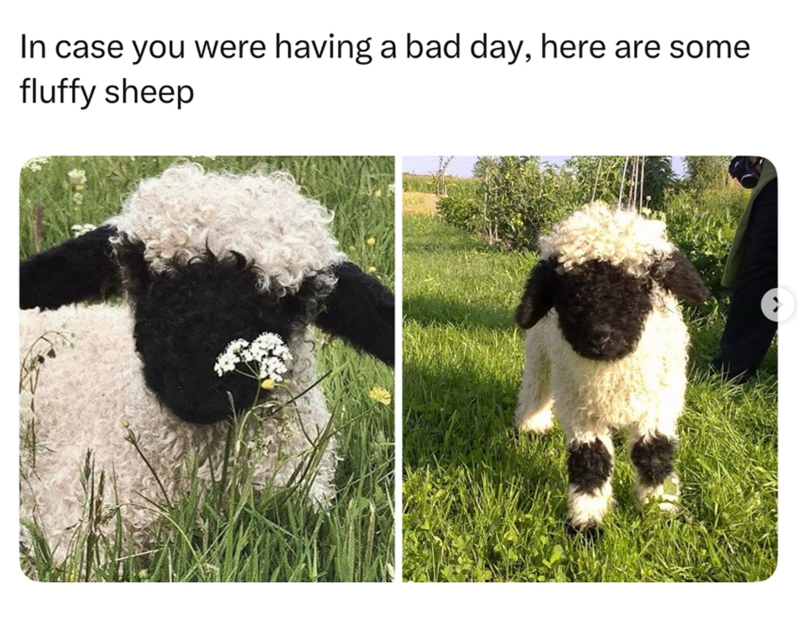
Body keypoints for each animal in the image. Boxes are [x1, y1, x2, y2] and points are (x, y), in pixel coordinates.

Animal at [513, 203, 709, 533]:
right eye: (567, 290)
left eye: (642, 284)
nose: (599, 336)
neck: (613, 370)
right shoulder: (581, 412)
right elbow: (590, 460)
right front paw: (586, 522)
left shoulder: (658, 404)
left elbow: (652, 453)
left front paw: (659, 510)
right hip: (540, 352)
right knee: (535, 387)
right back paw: (532, 425)